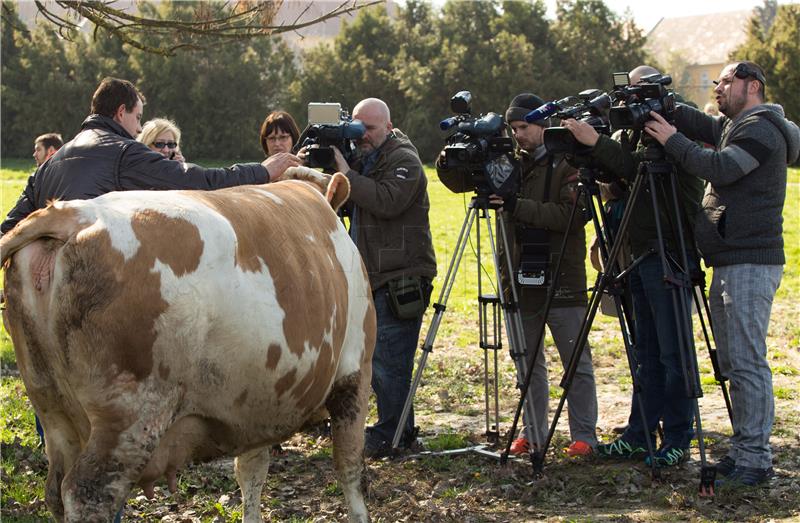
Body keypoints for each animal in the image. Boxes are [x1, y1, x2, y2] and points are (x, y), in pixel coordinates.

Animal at [0, 168, 376, 523]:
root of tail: (69, 214)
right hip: (130, 416)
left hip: (52, 408)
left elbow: (251, 474)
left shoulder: (257, 404)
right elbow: (350, 466)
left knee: (55, 489)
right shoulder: (356, 372)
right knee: (87, 493)